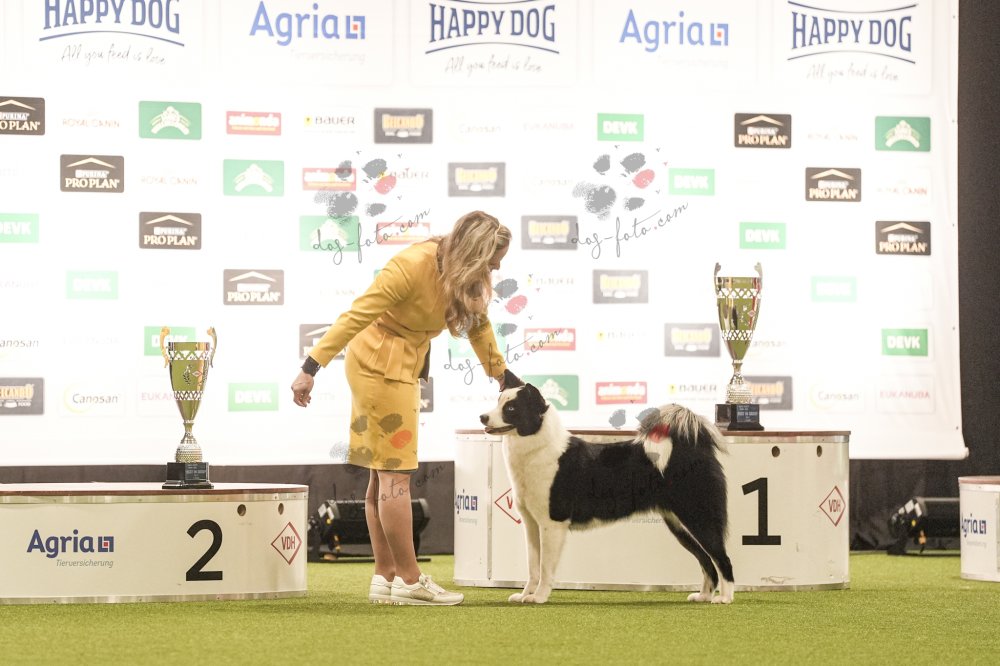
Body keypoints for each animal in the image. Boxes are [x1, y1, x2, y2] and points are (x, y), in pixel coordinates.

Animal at [480, 372, 734, 604]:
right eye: (498, 402)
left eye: (511, 408)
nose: (482, 417)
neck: (538, 449)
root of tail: (694, 447)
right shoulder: (532, 524)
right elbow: (533, 566)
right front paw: (525, 594)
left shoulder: (552, 524)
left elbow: (545, 567)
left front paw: (539, 597)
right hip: (680, 525)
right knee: (706, 561)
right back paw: (703, 596)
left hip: (698, 517)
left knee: (722, 559)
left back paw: (725, 598)